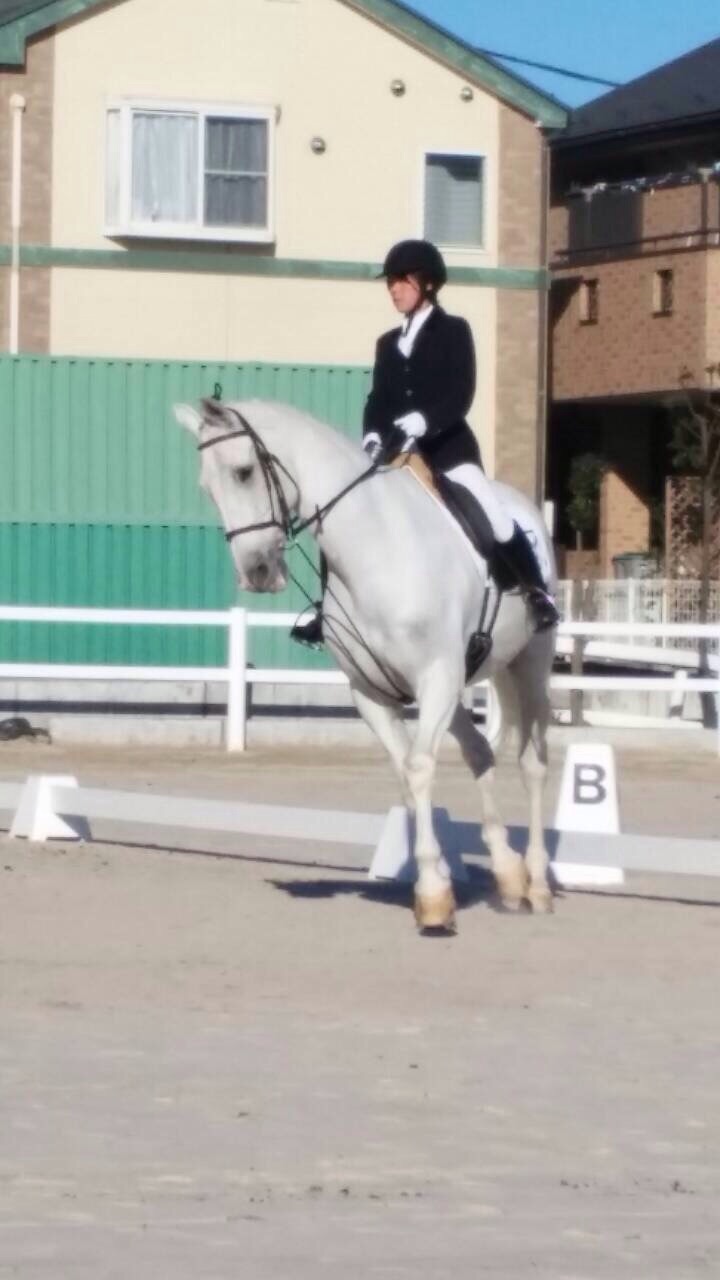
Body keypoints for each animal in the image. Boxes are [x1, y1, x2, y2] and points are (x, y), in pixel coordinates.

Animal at [174, 397, 556, 932]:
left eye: (244, 472)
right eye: (207, 488)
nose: (257, 574)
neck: (375, 549)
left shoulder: (436, 677)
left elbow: (419, 768)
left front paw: (432, 898)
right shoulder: (373, 692)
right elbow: (405, 775)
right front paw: (435, 883)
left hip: (528, 664)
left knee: (533, 764)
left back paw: (537, 884)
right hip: (455, 686)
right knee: (480, 751)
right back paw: (507, 874)